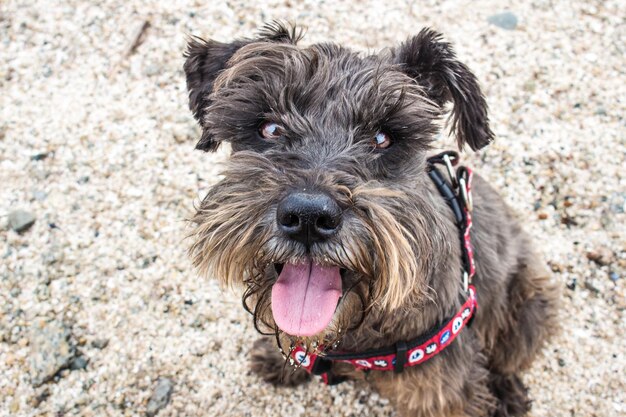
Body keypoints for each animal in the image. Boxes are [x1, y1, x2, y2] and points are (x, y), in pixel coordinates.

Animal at [183, 22, 560, 416]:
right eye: (269, 128)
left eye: (383, 138)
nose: (308, 216)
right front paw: (280, 362)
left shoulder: (445, 393)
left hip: (529, 307)